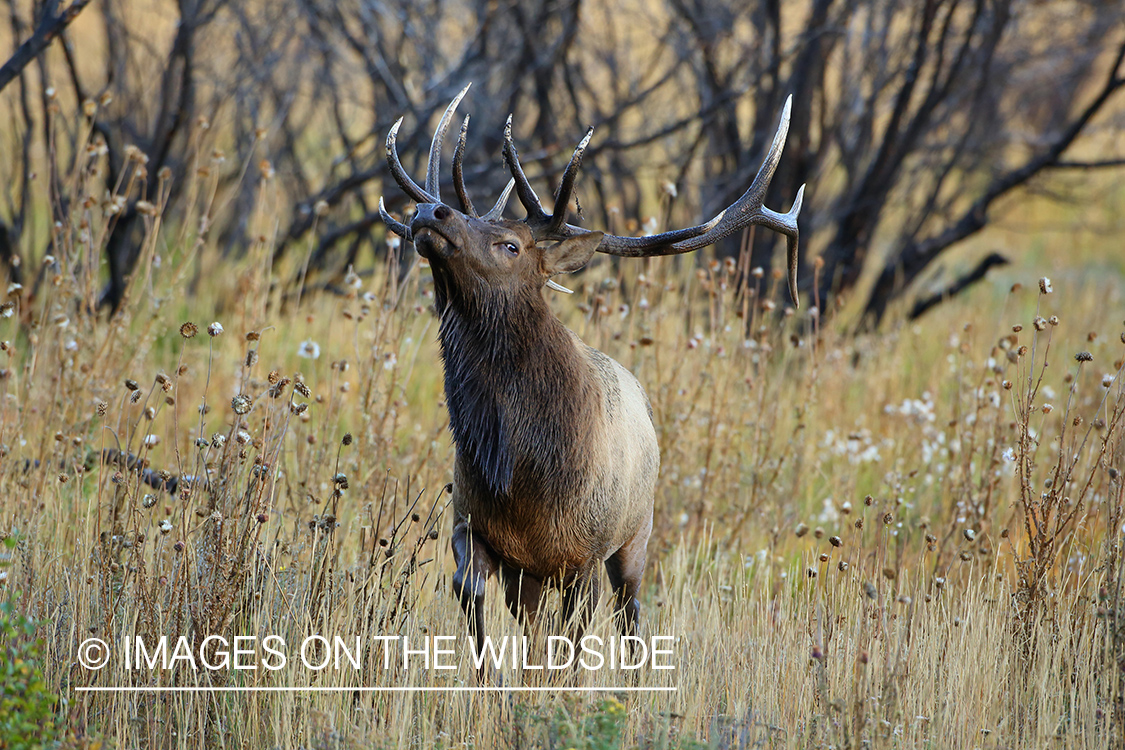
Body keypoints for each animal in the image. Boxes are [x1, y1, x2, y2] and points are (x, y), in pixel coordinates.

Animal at [378, 84, 803, 657]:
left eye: (510, 245)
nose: (431, 210)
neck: (521, 475)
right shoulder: (471, 522)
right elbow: (472, 595)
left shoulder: (585, 551)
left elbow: (573, 642)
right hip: (534, 574)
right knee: (539, 625)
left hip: (636, 532)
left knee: (629, 613)